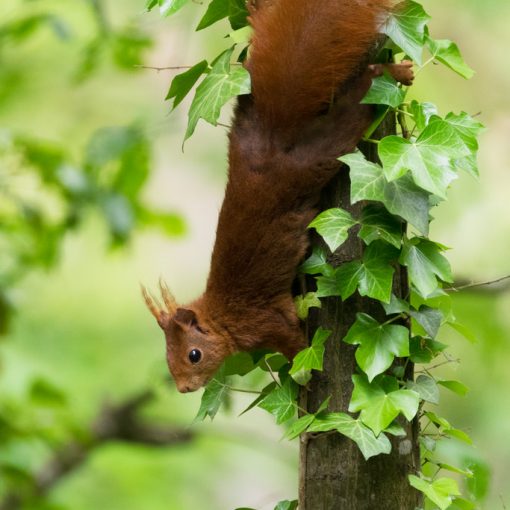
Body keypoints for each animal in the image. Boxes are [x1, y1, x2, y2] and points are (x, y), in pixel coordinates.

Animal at [141, 0, 412, 394]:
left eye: (194, 354)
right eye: (166, 358)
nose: (184, 388)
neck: (223, 317)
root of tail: (272, 135)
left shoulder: (265, 323)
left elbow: (298, 348)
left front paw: (304, 382)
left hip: (318, 153)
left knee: (359, 104)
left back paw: (397, 72)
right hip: (246, 115)